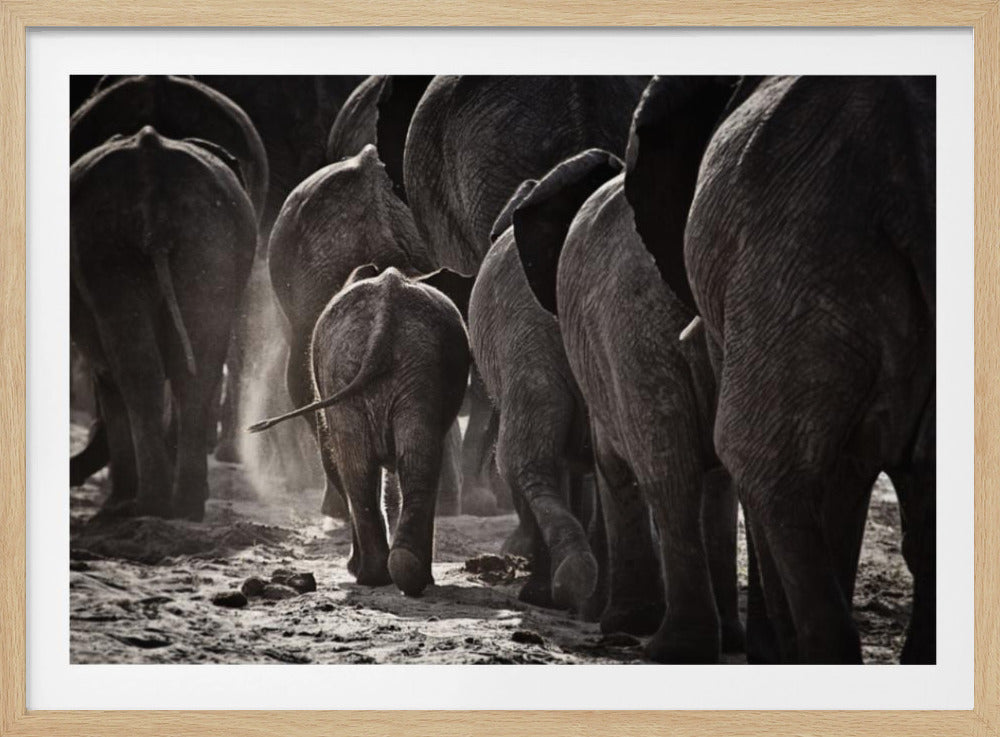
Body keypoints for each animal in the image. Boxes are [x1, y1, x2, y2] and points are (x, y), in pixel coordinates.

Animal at [71, 126, 257, 520]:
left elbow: (108, 376)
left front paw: (116, 504)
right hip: (211, 241)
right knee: (198, 366)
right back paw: (184, 507)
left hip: (102, 245)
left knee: (135, 370)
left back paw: (142, 505)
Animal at [248, 266, 471, 596]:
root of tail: (385, 314)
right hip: (385, 366)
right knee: (395, 463)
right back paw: (393, 574)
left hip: (386, 367)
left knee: (367, 466)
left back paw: (383, 574)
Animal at [514, 148, 744, 663]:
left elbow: (612, 466)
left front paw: (618, 621)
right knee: (708, 475)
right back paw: (713, 640)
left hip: (632, 333)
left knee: (667, 472)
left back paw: (671, 645)